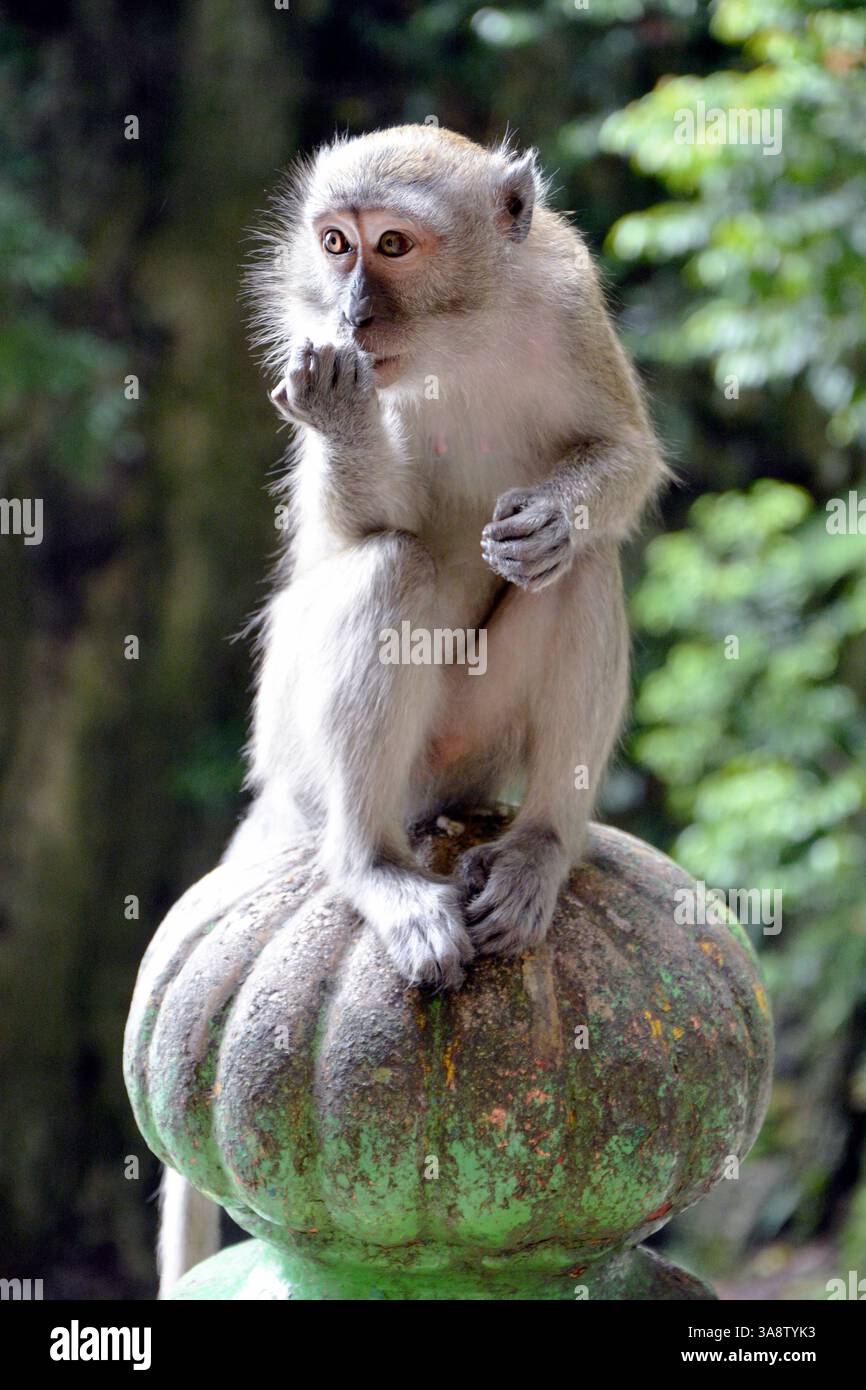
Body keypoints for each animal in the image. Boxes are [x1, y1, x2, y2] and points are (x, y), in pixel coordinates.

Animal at [158, 124, 667, 1294]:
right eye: (335, 244)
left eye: (392, 245)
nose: (352, 314)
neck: (457, 335)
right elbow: (360, 532)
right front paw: (345, 413)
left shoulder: (566, 295)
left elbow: (617, 459)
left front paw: (556, 512)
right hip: (312, 749)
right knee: (393, 570)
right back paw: (376, 871)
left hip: (476, 754)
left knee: (578, 572)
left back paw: (539, 848)